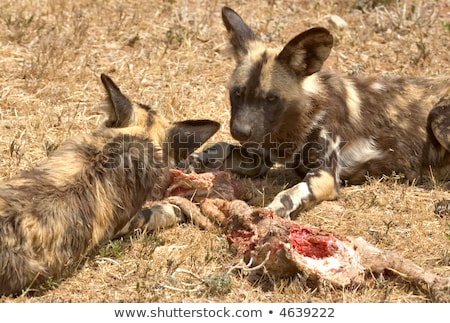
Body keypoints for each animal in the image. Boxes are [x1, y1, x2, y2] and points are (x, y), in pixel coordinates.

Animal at [195, 7, 450, 219]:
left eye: (271, 98)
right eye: (236, 93)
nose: (239, 131)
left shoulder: (325, 175)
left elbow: (289, 194)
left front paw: (271, 214)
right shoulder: (261, 156)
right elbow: (220, 147)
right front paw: (193, 160)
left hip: (437, 118)